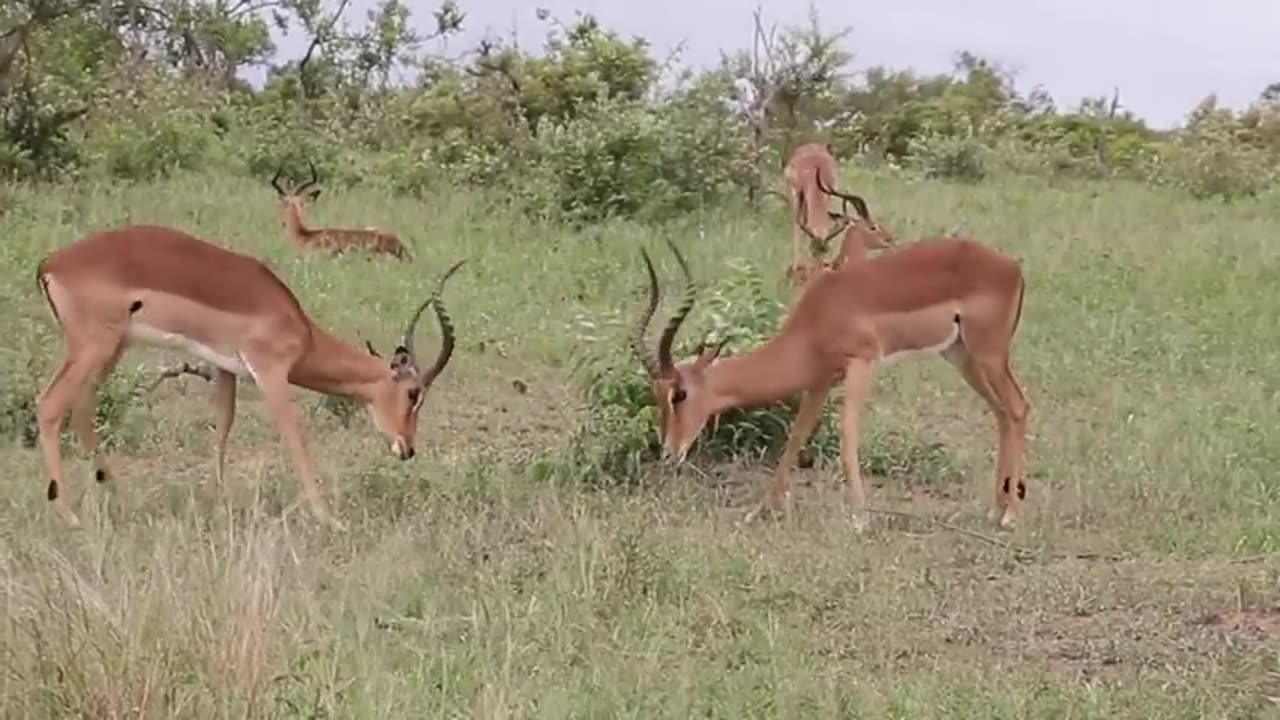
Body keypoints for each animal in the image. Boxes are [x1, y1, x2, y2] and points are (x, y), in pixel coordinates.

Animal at [32, 222, 465, 527]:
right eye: (413, 393)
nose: (407, 448)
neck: (298, 328)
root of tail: (50, 264)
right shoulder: (271, 374)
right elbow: (295, 439)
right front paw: (329, 519)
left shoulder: (224, 369)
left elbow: (223, 427)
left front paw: (215, 503)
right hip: (93, 347)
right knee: (50, 404)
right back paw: (68, 514)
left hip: (111, 348)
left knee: (82, 407)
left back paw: (118, 497)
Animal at [629, 228, 1029, 527]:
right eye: (657, 395)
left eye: (679, 393)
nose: (669, 452)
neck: (817, 317)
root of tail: (1012, 267)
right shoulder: (820, 380)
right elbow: (797, 436)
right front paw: (759, 511)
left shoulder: (862, 363)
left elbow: (848, 431)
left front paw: (860, 516)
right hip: (962, 356)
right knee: (1001, 413)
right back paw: (996, 509)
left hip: (988, 354)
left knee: (1018, 406)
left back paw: (1010, 515)